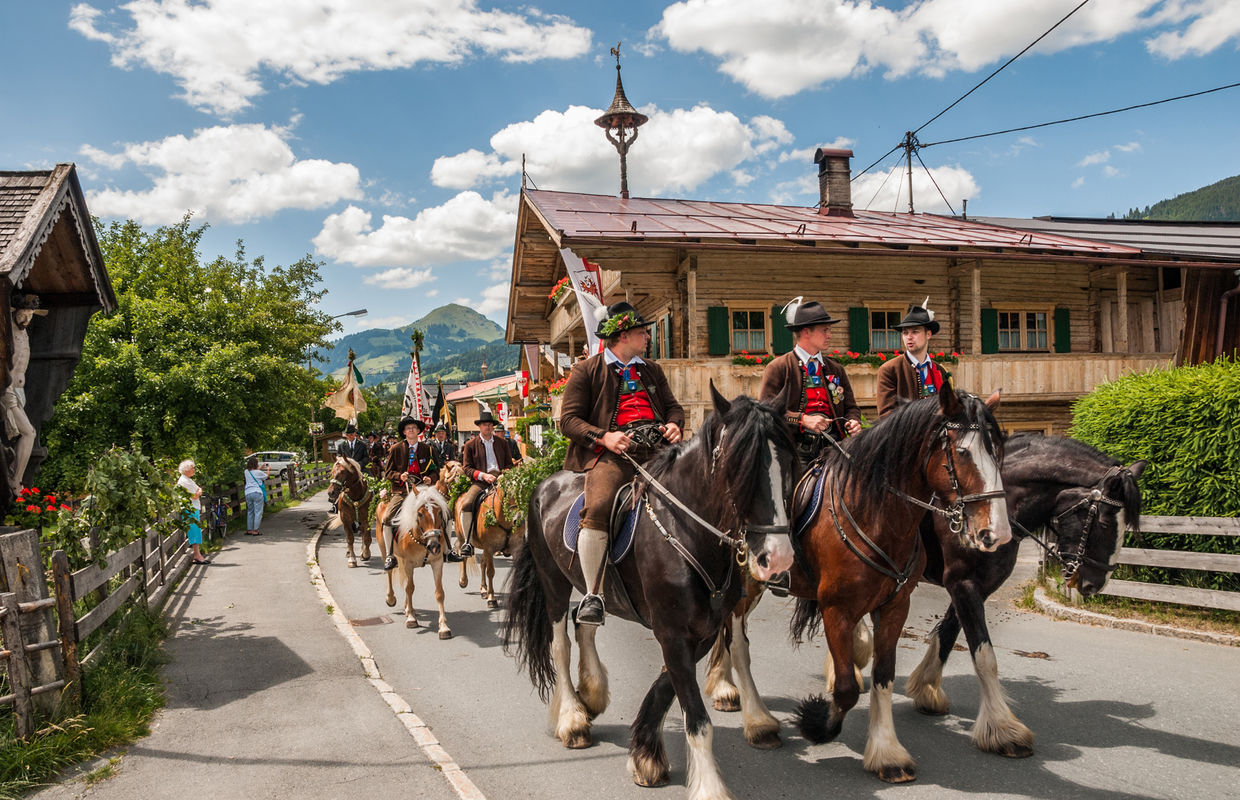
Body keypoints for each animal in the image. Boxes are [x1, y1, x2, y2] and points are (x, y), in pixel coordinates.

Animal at [376, 483, 461, 640]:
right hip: (384, 549)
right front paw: (411, 619)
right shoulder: (408, 563)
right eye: (420, 514)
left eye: (439, 512)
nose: (434, 545)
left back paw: (407, 607)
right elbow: (410, 588)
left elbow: (439, 593)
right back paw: (391, 598)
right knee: (390, 573)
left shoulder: (437, 562)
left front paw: (443, 627)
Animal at [500, 389, 798, 798]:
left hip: (595, 589)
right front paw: (708, 786)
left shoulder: (702, 630)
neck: (686, 529)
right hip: (553, 582)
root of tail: (545, 484)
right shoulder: (673, 633)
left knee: (584, 620)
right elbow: (697, 720)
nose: (778, 557)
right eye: (740, 467)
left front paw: (645, 754)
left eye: (787, 461)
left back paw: (591, 692)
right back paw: (573, 720)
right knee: (560, 643)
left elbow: (665, 688)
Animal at [788, 389, 1011, 783]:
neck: (875, 514)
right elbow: (846, 689)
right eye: (963, 452)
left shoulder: (895, 607)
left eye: (998, 450)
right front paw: (817, 724)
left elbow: (883, 676)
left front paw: (886, 752)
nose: (997, 533)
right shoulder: (836, 609)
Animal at [907, 431, 1145, 754]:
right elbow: (984, 655)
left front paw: (927, 689)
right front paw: (1001, 729)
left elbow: (947, 635)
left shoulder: (973, 587)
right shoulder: (963, 584)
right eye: (1106, 521)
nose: (1096, 583)